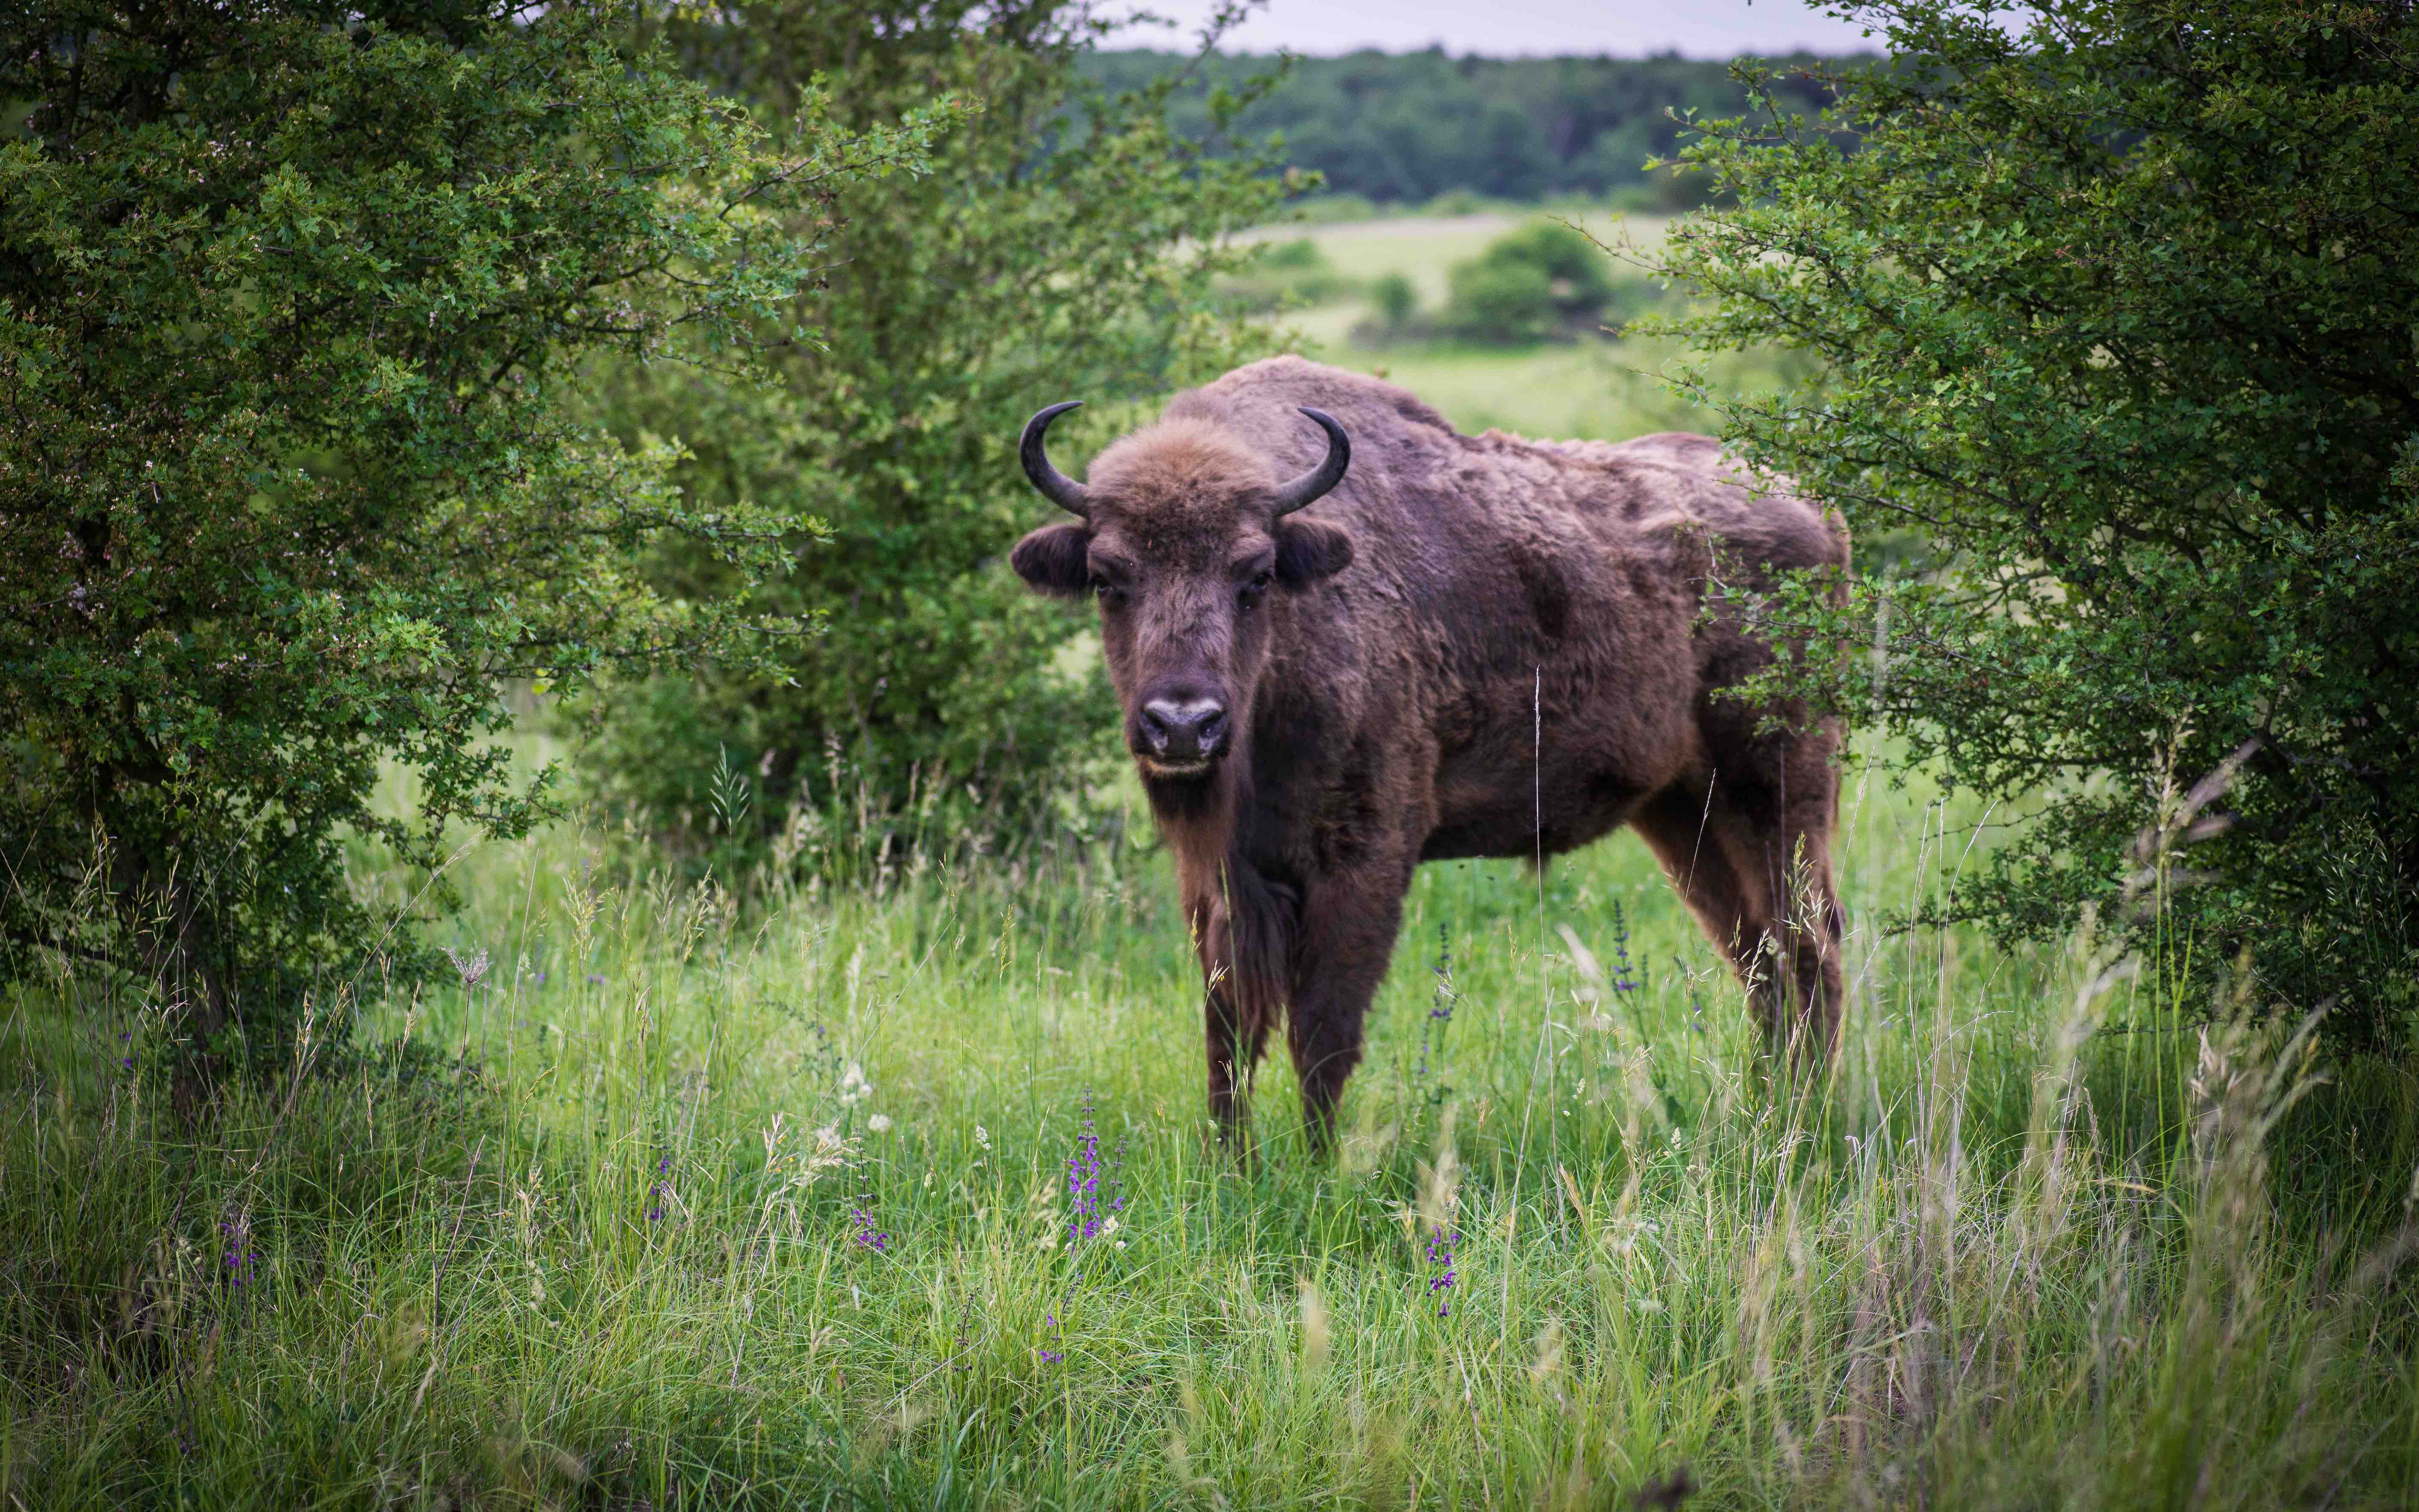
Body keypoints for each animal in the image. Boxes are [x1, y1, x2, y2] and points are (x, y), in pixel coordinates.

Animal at [1011, 355, 1838, 1132]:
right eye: (1107, 577)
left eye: (1256, 574)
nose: (1182, 724)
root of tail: (1813, 508)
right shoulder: (1219, 883)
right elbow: (1229, 1042)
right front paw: (1234, 1167)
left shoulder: (1365, 863)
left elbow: (1322, 1036)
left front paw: (1317, 1167)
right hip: (1682, 813)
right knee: (1757, 958)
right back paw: (1772, 1110)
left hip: (1777, 794)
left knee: (1809, 949)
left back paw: (1810, 1122)